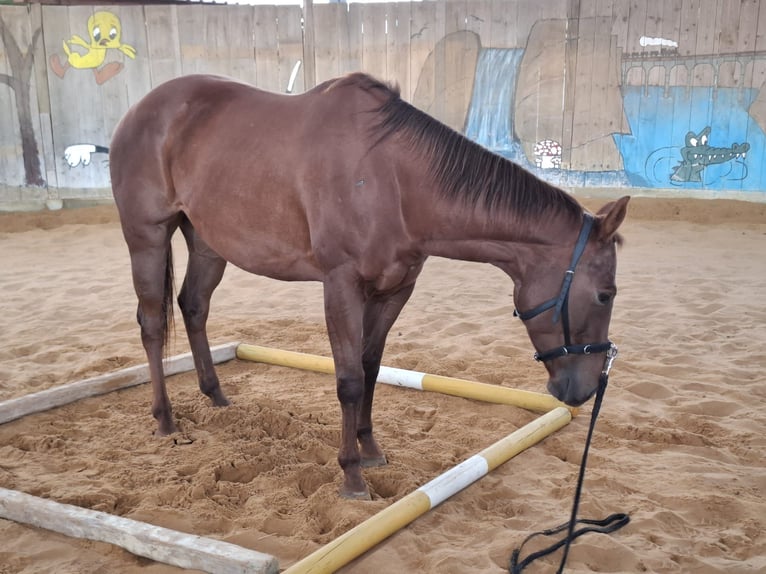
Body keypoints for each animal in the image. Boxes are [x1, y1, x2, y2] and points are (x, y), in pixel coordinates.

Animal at [109, 72, 629, 499]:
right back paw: (164, 419)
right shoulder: (340, 286)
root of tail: (138, 112)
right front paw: (352, 475)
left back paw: (215, 396)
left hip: (207, 243)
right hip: (146, 237)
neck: (393, 179)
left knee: (193, 306)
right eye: (606, 294)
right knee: (152, 323)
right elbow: (349, 381)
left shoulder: (394, 290)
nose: (584, 390)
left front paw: (371, 449)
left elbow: (372, 369)